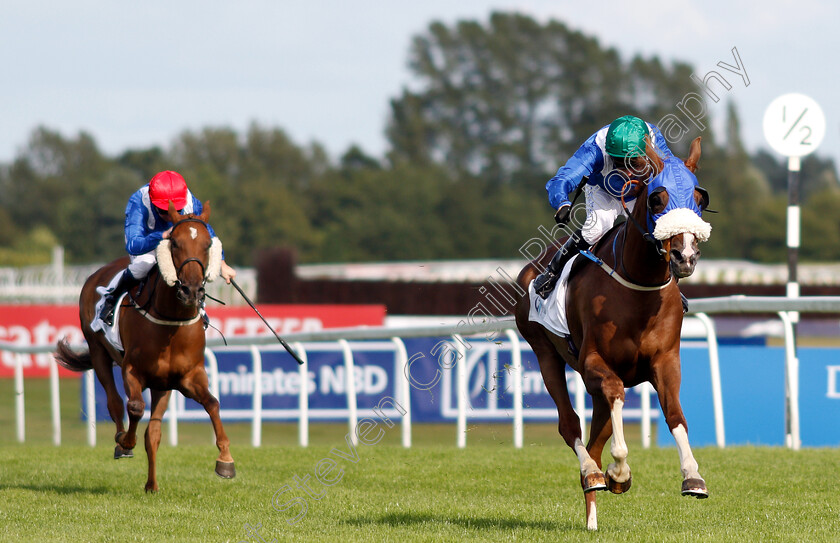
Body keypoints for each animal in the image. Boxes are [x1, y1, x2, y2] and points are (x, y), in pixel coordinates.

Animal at [54, 201, 233, 492]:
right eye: (174, 243)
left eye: (208, 244)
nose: (191, 291)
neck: (171, 321)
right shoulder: (132, 369)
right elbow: (135, 407)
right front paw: (126, 441)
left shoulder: (187, 376)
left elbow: (212, 403)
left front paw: (225, 459)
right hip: (98, 350)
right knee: (115, 402)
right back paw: (121, 442)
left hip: (162, 384)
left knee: (154, 432)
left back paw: (152, 485)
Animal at [516, 137, 712, 532]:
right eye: (657, 199)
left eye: (699, 198)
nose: (685, 255)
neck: (639, 286)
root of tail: (530, 267)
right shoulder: (595, 362)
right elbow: (618, 394)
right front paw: (618, 472)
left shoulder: (666, 361)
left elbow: (675, 414)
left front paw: (693, 476)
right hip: (544, 353)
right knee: (570, 425)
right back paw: (593, 474)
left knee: (594, 440)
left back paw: (591, 509)